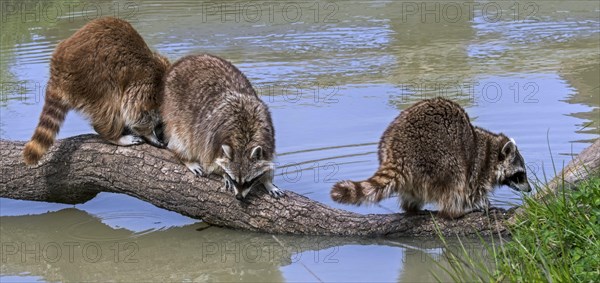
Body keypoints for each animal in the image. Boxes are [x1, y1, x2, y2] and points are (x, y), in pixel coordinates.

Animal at [22, 16, 169, 166]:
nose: (164, 136)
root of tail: (58, 69)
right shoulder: (146, 85)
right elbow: (134, 111)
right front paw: (149, 134)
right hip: (93, 78)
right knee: (111, 105)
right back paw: (114, 136)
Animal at [158, 53, 282, 200]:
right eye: (234, 179)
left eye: (248, 181)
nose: (239, 197)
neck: (244, 139)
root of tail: (183, 61)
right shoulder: (213, 139)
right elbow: (210, 161)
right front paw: (223, 173)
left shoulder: (268, 134)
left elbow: (268, 161)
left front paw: (267, 181)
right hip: (174, 108)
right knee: (182, 139)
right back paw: (185, 158)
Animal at [330, 97, 532, 220]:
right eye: (520, 174)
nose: (530, 189)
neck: (492, 148)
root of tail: (398, 152)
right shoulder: (479, 167)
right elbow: (472, 193)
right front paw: (485, 205)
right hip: (439, 156)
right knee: (455, 181)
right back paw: (456, 211)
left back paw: (412, 208)